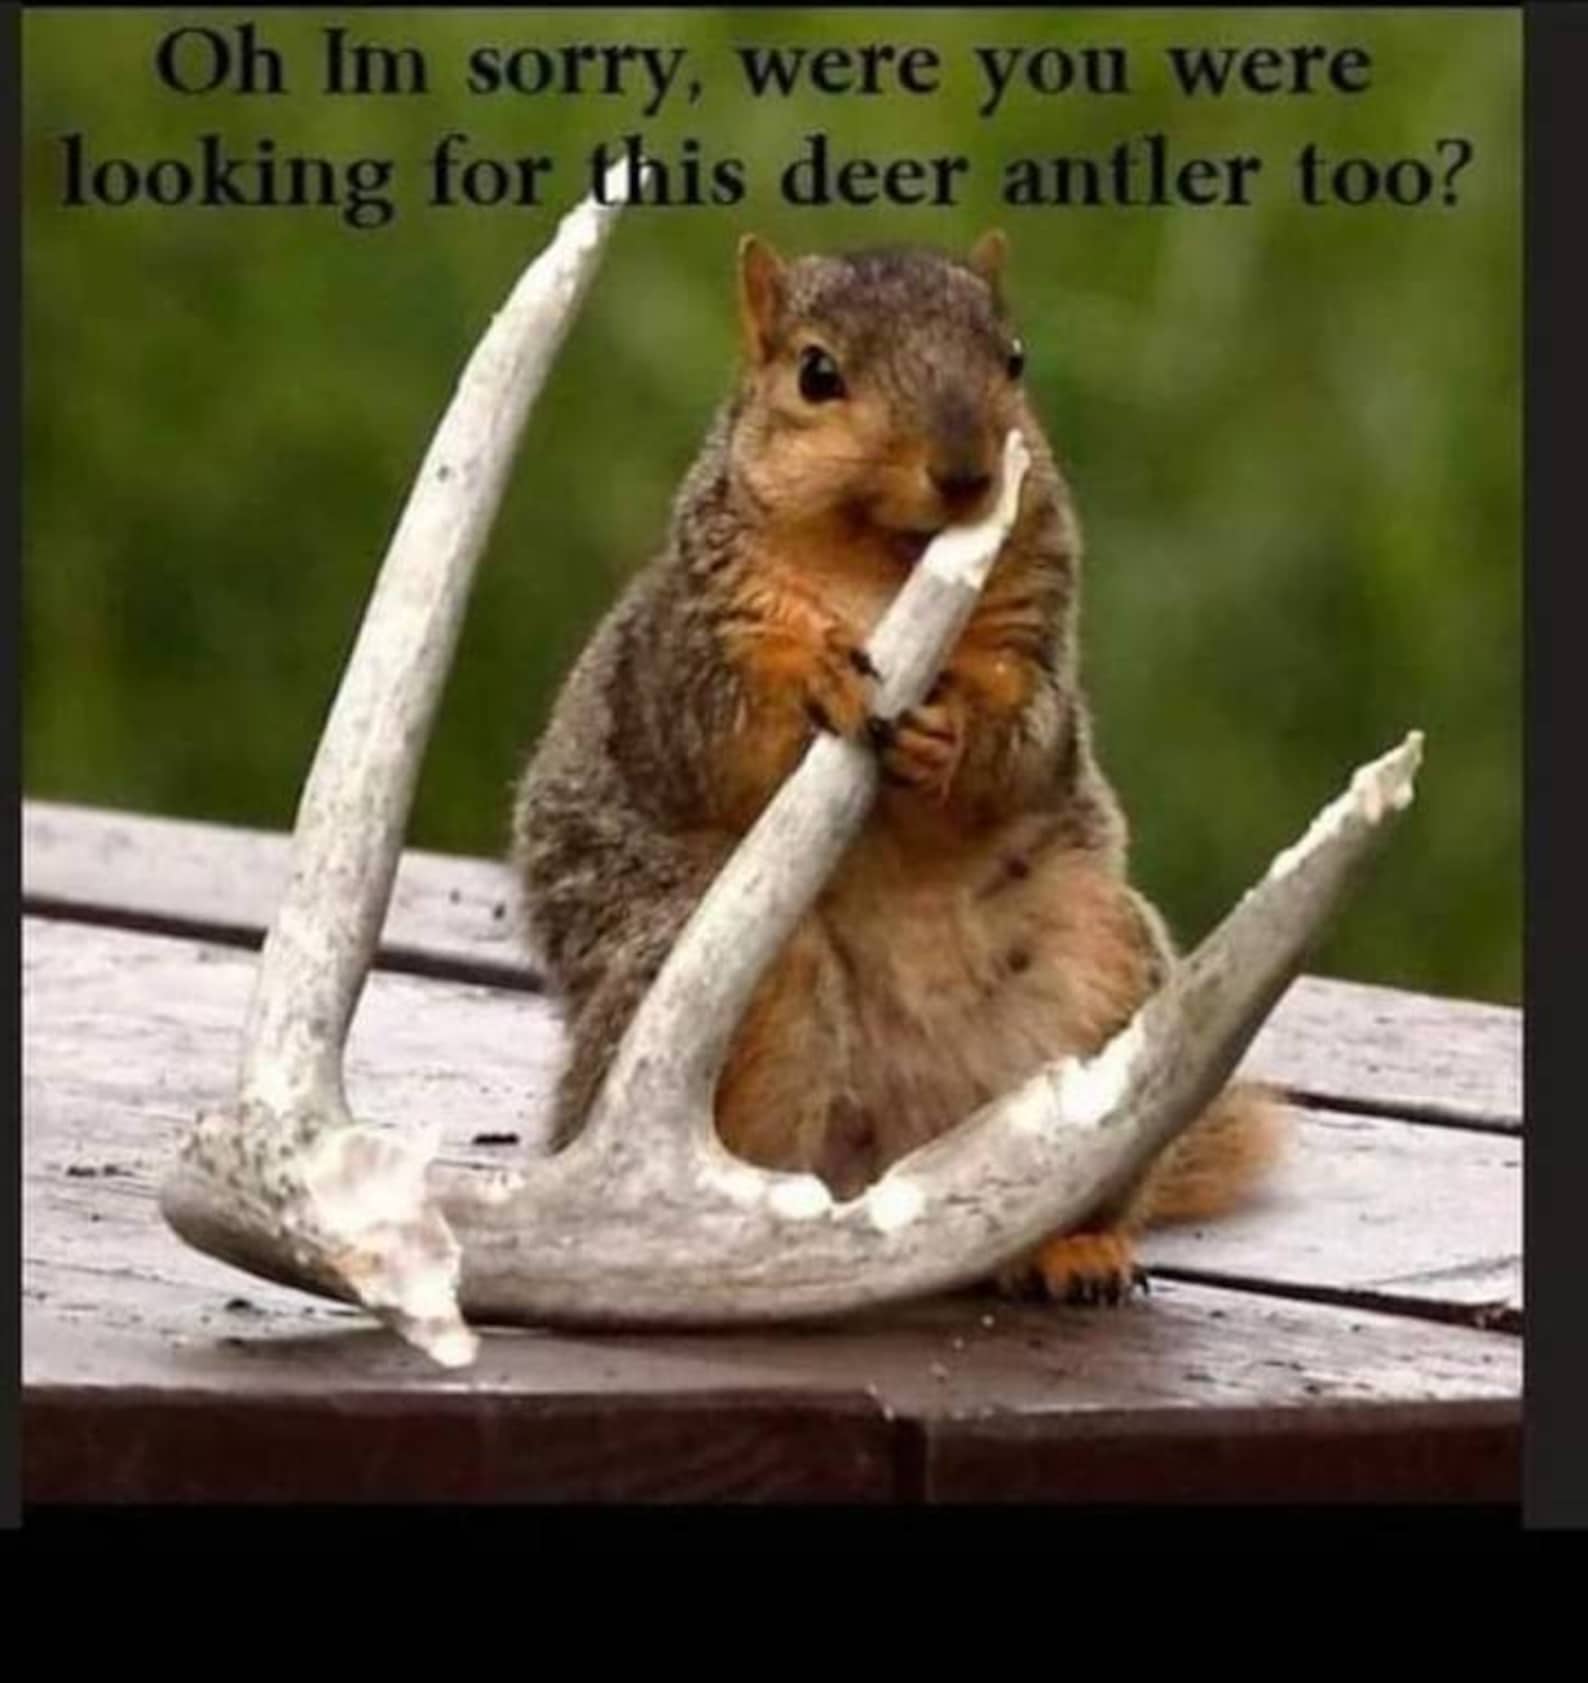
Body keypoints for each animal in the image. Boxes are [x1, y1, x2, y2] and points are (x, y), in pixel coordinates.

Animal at [510, 230, 1284, 1305]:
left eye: (1014, 357)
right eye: (816, 373)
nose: (965, 471)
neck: (881, 562)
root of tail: (889, 1157)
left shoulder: (1036, 637)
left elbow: (1027, 741)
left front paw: (951, 735)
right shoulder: (686, 652)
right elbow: (723, 737)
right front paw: (816, 682)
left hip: (1094, 978)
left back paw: (1071, 1249)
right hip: (730, 988)